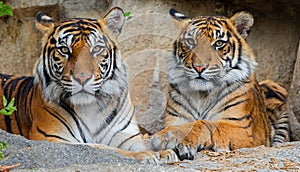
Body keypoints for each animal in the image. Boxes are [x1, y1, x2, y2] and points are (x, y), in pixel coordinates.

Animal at [0, 7, 178, 165]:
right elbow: (103, 149)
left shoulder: (127, 136)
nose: (82, 78)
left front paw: (163, 153)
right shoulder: (51, 138)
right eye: (64, 50)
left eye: (97, 49)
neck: (91, 107)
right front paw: (147, 155)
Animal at [146, 8, 290, 161]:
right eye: (190, 41)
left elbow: (205, 124)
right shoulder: (175, 119)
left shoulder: (242, 128)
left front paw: (169, 136)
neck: (202, 95)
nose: (199, 67)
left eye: (219, 43)